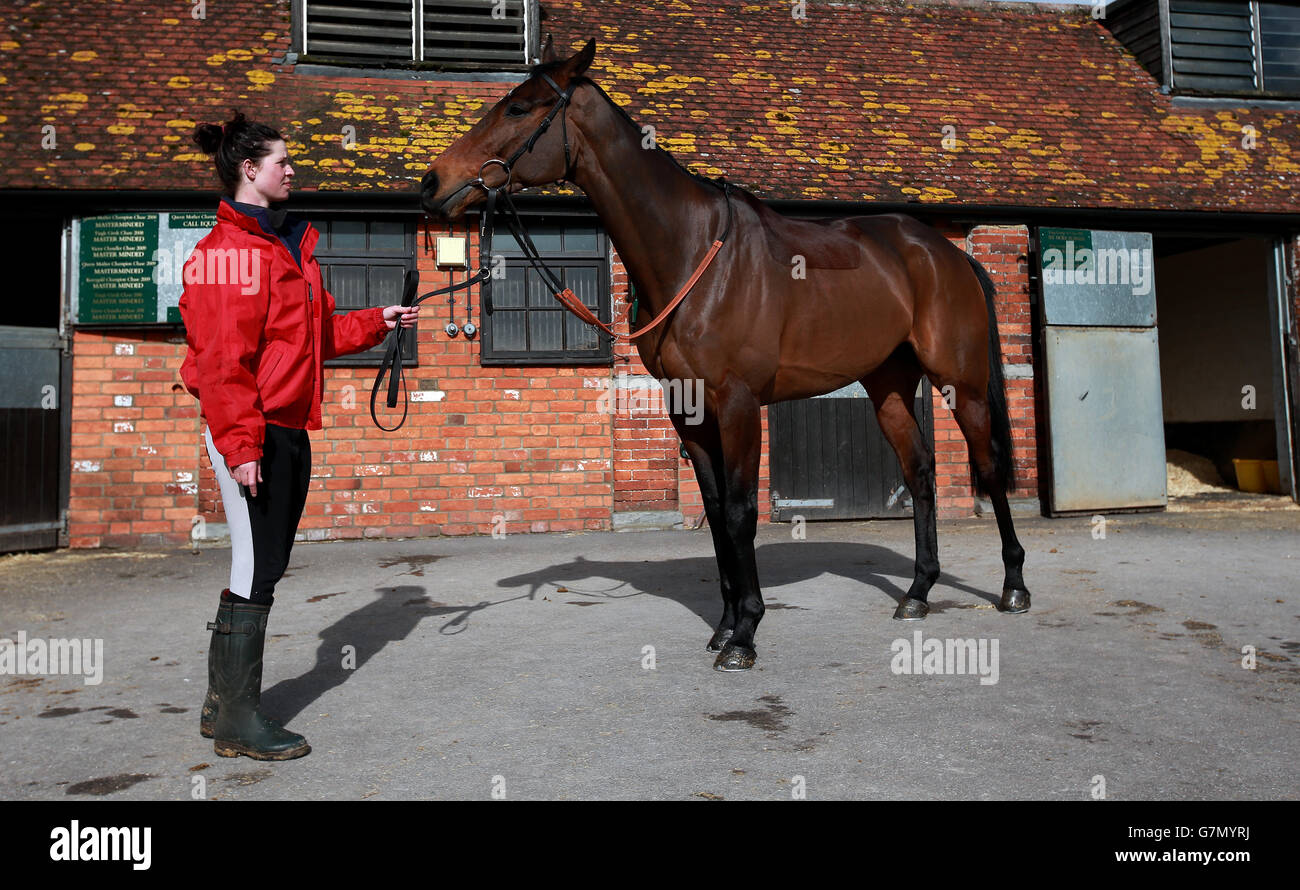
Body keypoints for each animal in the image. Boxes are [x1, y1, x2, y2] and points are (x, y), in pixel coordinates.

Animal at [421, 38, 1029, 670]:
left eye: (520, 107)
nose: (432, 181)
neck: (691, 255)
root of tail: (947, 253)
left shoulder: (737, 404)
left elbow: (741, 511)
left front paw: (745, 634)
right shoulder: (687, 411)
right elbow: (714, 513)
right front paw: (724, 624)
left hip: (960, 381)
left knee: (987, 466)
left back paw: (1013, 587)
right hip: (887, 386)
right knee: (921, 473)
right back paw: (917, 592)